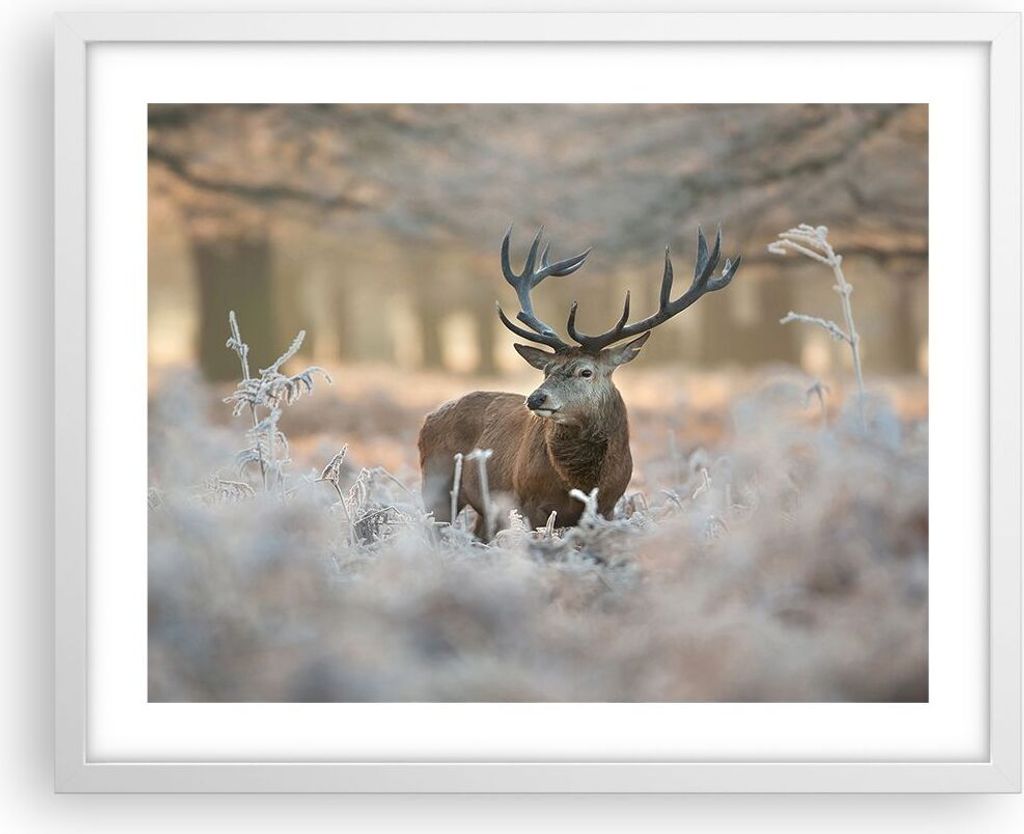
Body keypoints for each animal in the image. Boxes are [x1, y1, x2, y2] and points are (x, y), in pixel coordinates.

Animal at [418, 225, 741, 539]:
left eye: (586, 372)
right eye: (546, 370)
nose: (535, 398)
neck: (581, 482)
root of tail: (428, 417)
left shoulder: (607, 506)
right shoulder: (528, 503)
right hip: (436, 483)